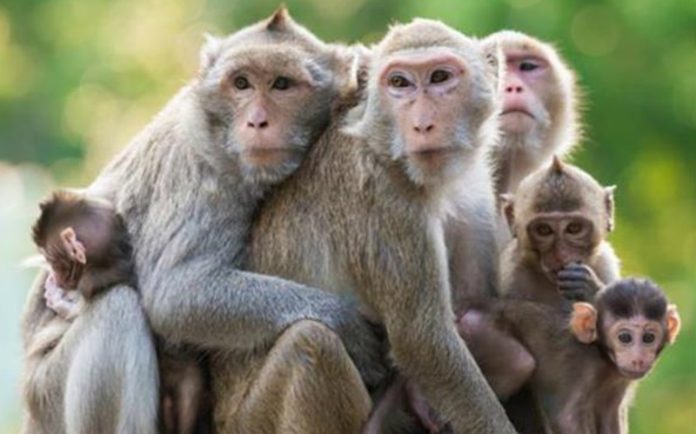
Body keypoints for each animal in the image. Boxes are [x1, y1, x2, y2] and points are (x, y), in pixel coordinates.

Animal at [20, 8, 378, 434]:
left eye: (282, 84)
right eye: (241, 83)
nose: (257, 121)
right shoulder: (200, 172)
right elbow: (176, 293)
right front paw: (348, 325)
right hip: (48, 398)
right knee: (117, 311)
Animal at [218, 18, 517, 434]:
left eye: (440, 77)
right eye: (400, 83)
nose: (422, 124)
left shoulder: (474, 192)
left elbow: (475, 306)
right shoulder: (384, 200)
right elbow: (424, 341)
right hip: (251, 421)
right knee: (313, 345)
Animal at [456, 277, 681, 434]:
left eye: (649, 337)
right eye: (625, 338)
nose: (638, 358)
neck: (601, 355)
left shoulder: (619, 379)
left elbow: (609, 417)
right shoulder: (584, 369)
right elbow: (567, 418)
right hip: (476, 326)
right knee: (519, 363)